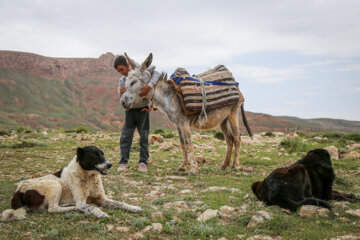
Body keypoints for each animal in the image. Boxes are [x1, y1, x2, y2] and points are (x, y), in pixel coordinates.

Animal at [1, 145, 142, 220]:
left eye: (102, 154)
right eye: (95, 155)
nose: (110, 164)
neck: (89, 177)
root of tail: (17, 192)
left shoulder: (101, 199)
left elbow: (120, 203)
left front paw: (134, 207)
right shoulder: (82, 201)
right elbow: (92, 206)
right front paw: (100, 213)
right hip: (55, 185)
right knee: (52, 208)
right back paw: (73, 208)